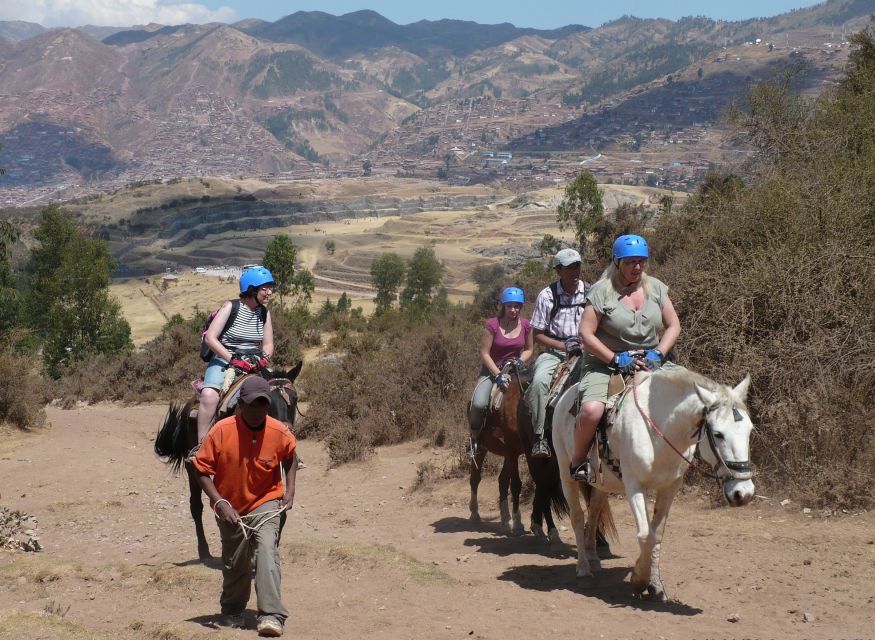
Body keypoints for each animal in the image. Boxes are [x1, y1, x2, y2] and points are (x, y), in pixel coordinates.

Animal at [556, 364, 752, 600]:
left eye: (750, 430)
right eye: (718, 434)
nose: (743, 493)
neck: (659, 431)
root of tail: (565, 395)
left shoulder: (670, 487)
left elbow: (656, 535)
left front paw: (655, 584)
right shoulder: (634, 487)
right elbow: (644, 534)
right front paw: (639, 580)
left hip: (603, 484)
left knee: (594, 513)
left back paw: (593, 559)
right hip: (565, 473)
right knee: (577, 516)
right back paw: (584, 569)